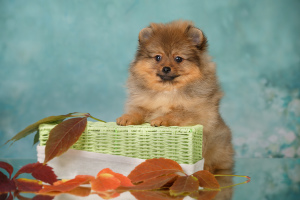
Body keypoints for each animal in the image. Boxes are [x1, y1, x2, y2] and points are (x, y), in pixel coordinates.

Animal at [117, 19, 234, 172]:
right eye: (158, 57)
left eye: (178, 58)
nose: (166, 68)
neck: (168, 90)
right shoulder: (142, 103)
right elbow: (137, 111)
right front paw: (127, 117)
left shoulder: (195, 111)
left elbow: (175, 114)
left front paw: (161, 119)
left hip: (218, 143)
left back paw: (208, 167)